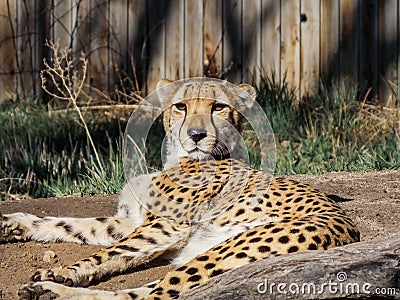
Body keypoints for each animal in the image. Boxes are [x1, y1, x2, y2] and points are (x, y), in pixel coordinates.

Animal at [0, 78, 360, 298]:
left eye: (218, 107)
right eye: (180, 106)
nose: (196, 135)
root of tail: (349, 234)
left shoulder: (162, 226)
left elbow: (108, 253)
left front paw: (60, 272)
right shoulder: (132, 221)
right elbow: (71, 225)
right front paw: (14, 224)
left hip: (222, 252)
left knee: (153, 295)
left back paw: (52, 290)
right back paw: (48, 291)